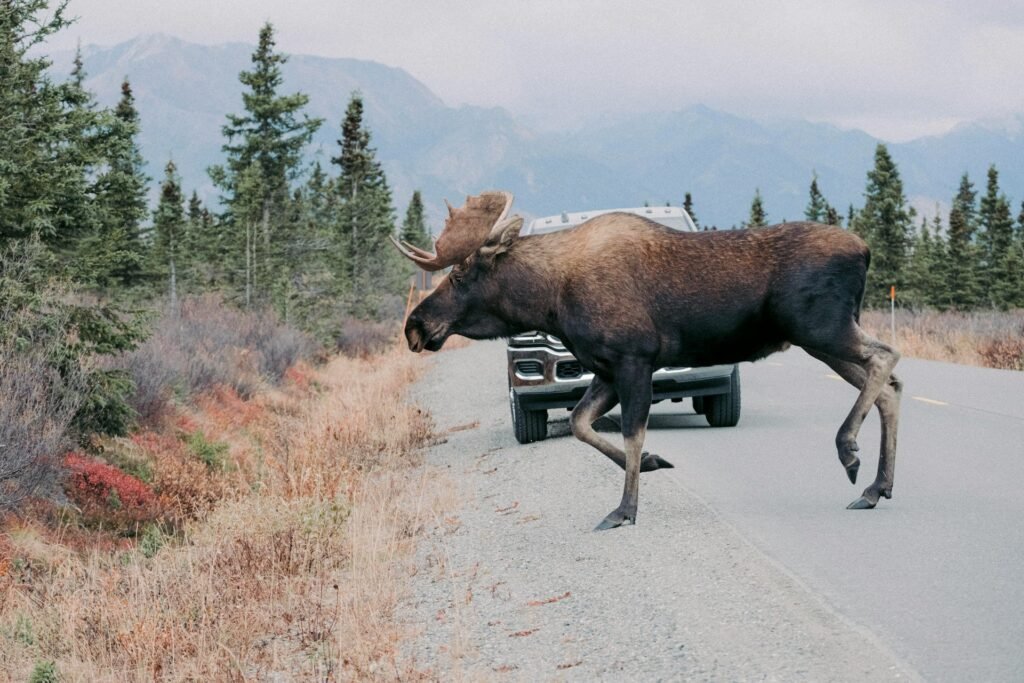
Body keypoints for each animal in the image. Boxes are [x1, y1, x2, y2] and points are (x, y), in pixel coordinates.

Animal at [387, 189, 901, 532]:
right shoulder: (606, 368)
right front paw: (655, 462)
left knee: (887, 358)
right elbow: (582, 424)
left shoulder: (633, 358)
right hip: (821, 339)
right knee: (888, 388)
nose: (415, 326)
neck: (550, 301)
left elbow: (631, 432)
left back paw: (849, 451)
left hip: (822, 328)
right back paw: (876, 489)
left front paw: (624, 509)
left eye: (461, 276)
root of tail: (866, 250)